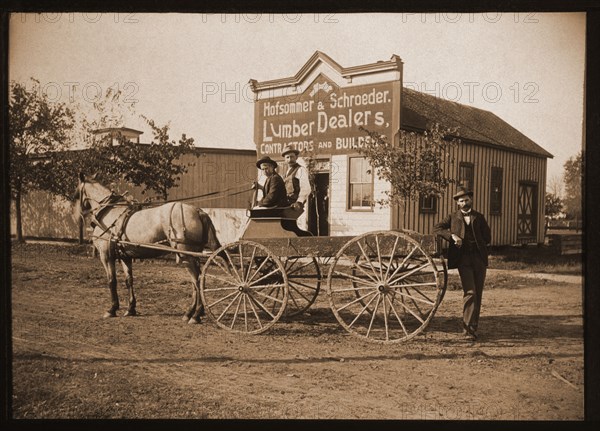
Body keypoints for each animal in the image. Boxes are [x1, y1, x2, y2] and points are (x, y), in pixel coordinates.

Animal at [72, 172, 223, 324]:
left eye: (76, 193)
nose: (76, 217)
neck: (109, 212)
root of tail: (197, 210)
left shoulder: (106, 256)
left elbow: (111, 281)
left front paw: (112, 309)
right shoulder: (125, 257)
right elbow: (129, 280)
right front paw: (130, 309)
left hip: (186, 255)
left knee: (197, 281)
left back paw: (196, 315)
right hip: (192, 254)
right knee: (196, 282)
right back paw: (191, 312)